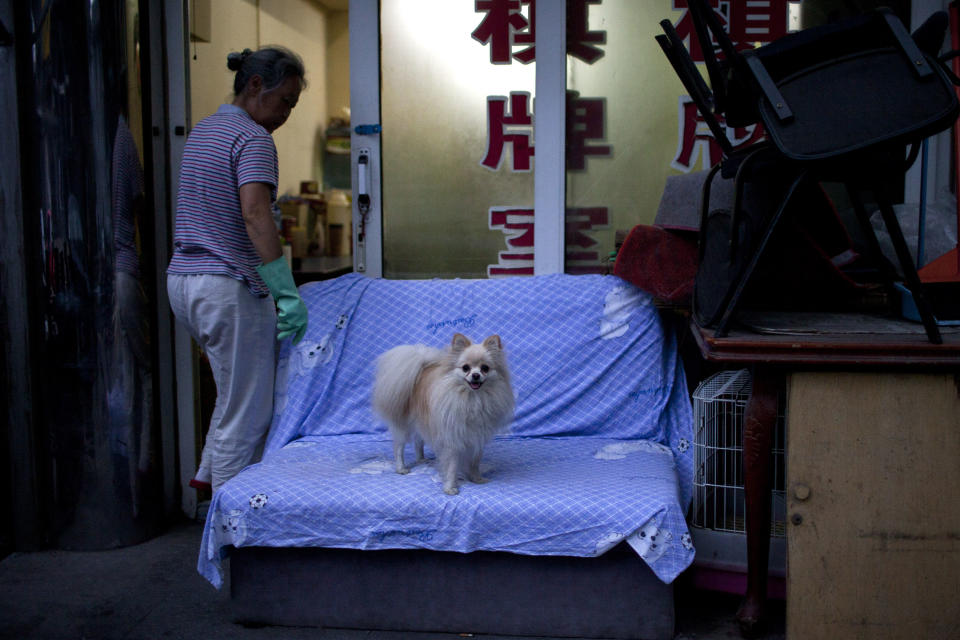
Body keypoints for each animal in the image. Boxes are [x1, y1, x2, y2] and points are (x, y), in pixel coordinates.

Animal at [372, 332, 512, 498]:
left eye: (485, 368)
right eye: (466, 368)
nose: (476, 375)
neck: (472, 399)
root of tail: (421, 369)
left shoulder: (477, 438)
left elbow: (474, 462)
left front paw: (476, 478)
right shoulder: (452, 439)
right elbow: (452, 466)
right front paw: (450, 488)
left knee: (418, 440)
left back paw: (421, 459)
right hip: (403, 425)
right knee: (399, 447)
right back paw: (401, 468)